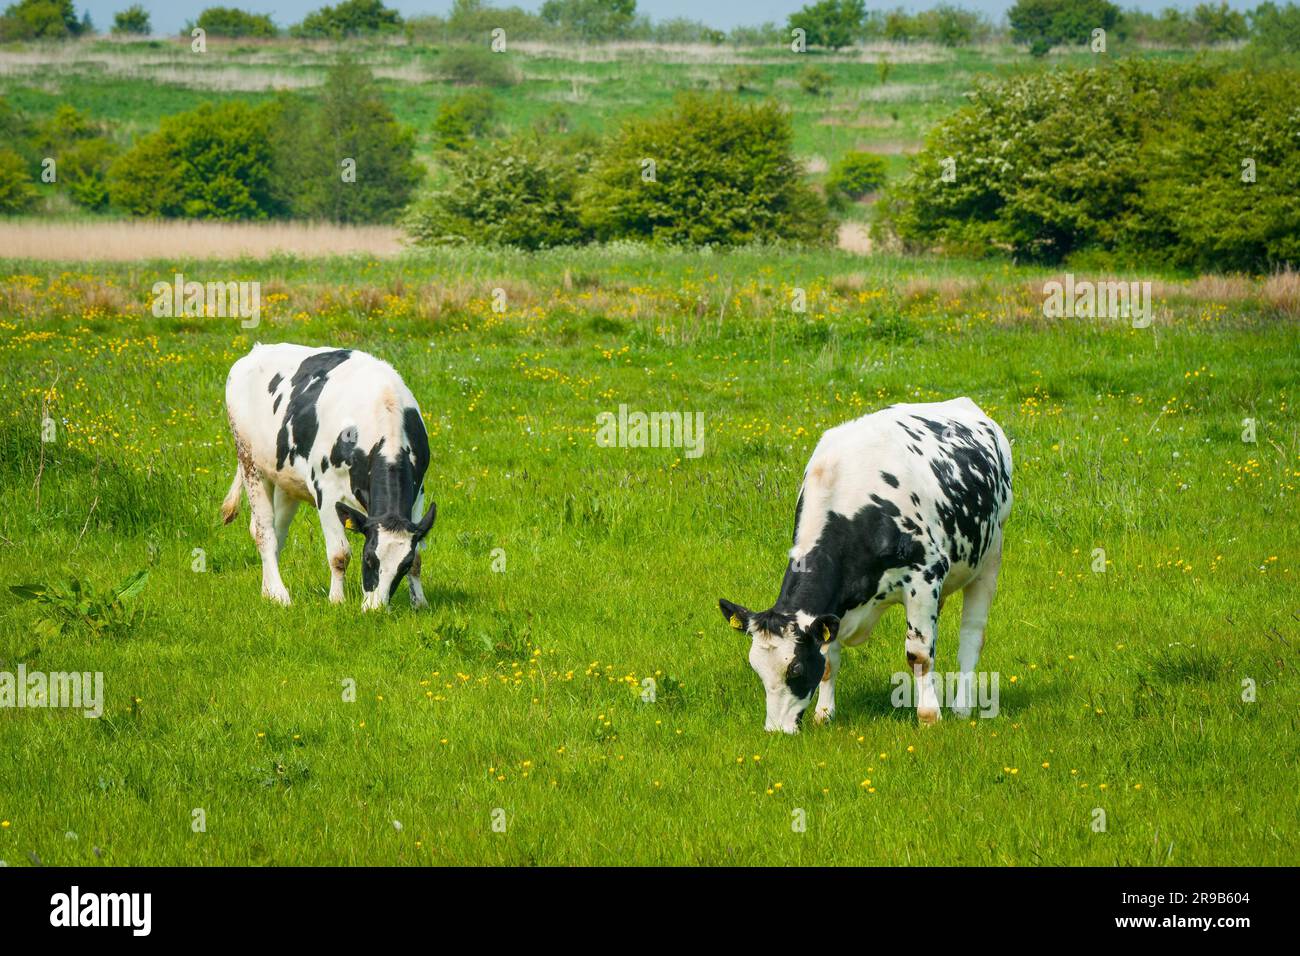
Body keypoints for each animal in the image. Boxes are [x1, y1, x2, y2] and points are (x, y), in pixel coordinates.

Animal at [222, 343, 436, 611]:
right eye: (368, 558)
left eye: (402, 566)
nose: (375, 609)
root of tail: (256, 350)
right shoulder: (326, 490)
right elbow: (339, 554)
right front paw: (337, 600)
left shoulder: (418, 493)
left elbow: (418, 555)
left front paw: (420, 602)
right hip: (250, 462)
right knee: (264, 532)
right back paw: (281, 595)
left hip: (286, 480)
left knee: (276, 531)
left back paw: (267, 591)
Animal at [719, 398, 1012, 732]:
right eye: (756, 669)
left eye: (795, 668)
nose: (777, 730)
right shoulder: (835, 610)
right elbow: (830, 660)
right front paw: (824, 714)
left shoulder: (924, 577)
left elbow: (919, 655)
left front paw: (929, 716)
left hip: (990, 557)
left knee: (971, 637)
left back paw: (961, 707)